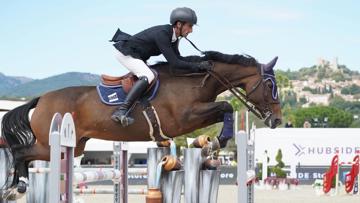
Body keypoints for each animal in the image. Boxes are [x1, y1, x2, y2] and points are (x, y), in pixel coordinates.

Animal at [0, 52, 282, 200]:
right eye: (270, 85)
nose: (277, 120)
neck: (194, 82)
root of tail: (42, 98)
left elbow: (223, 110)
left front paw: (210, 142)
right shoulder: (183, 119)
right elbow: (226, 107)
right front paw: (216, 141)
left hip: (74, 147)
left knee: (26, 153)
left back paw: (16, 186)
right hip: (55, 143)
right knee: (21, 152)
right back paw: (17, 186)